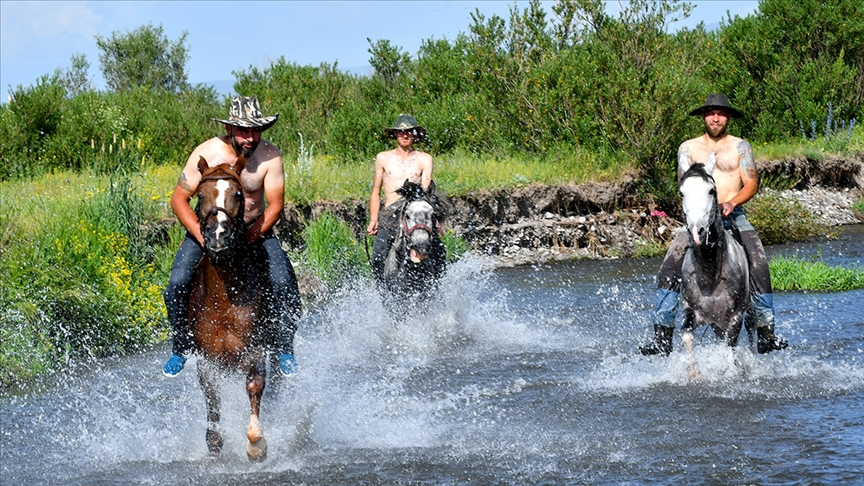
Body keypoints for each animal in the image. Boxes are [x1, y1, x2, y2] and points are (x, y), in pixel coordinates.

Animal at [190, 155, 272, 460]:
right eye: (201, 195)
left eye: (238, 194)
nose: (218, 236)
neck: (225, 297)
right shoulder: (207, 361)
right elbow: (212, 399)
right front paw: (214, 443)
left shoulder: (255, 350)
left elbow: (255, 387)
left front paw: (256, 445)